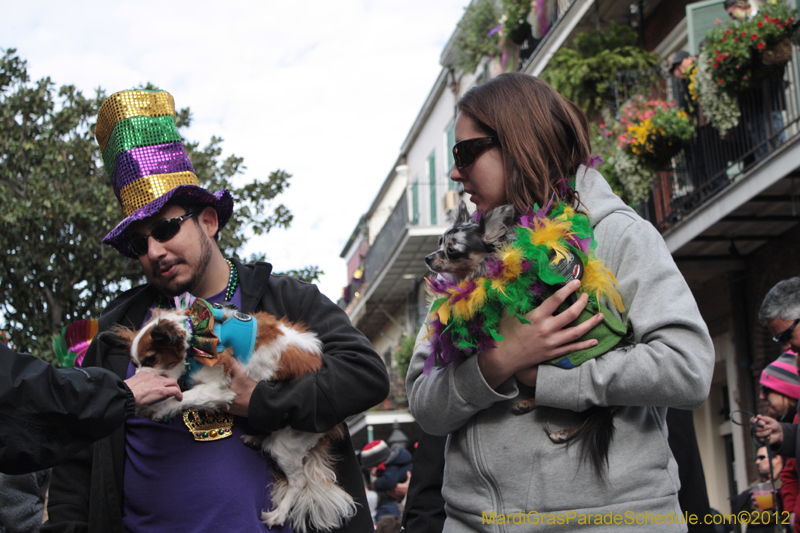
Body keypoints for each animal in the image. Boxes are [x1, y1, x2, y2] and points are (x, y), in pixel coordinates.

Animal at [108, 304, 356, 532]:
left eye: (151, 359)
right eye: (135, 364)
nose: (135, 381)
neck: (196, 337)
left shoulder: (220, 389)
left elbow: (184, 398)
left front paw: (158, 408)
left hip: (287, 444)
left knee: (298, 480)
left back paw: (278, 514)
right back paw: (256, 438)